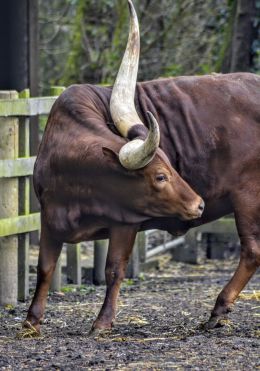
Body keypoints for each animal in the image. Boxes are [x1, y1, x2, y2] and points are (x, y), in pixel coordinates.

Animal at [17, 0, 258, 340]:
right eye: (161, 175)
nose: (199, 204)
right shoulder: (49, 220)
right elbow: (45, 268)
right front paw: (31, 321)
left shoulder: (125, 222)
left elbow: (114, 268)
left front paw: (103, 322)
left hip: (248, 197)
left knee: (251, 250)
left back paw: (218, 310)